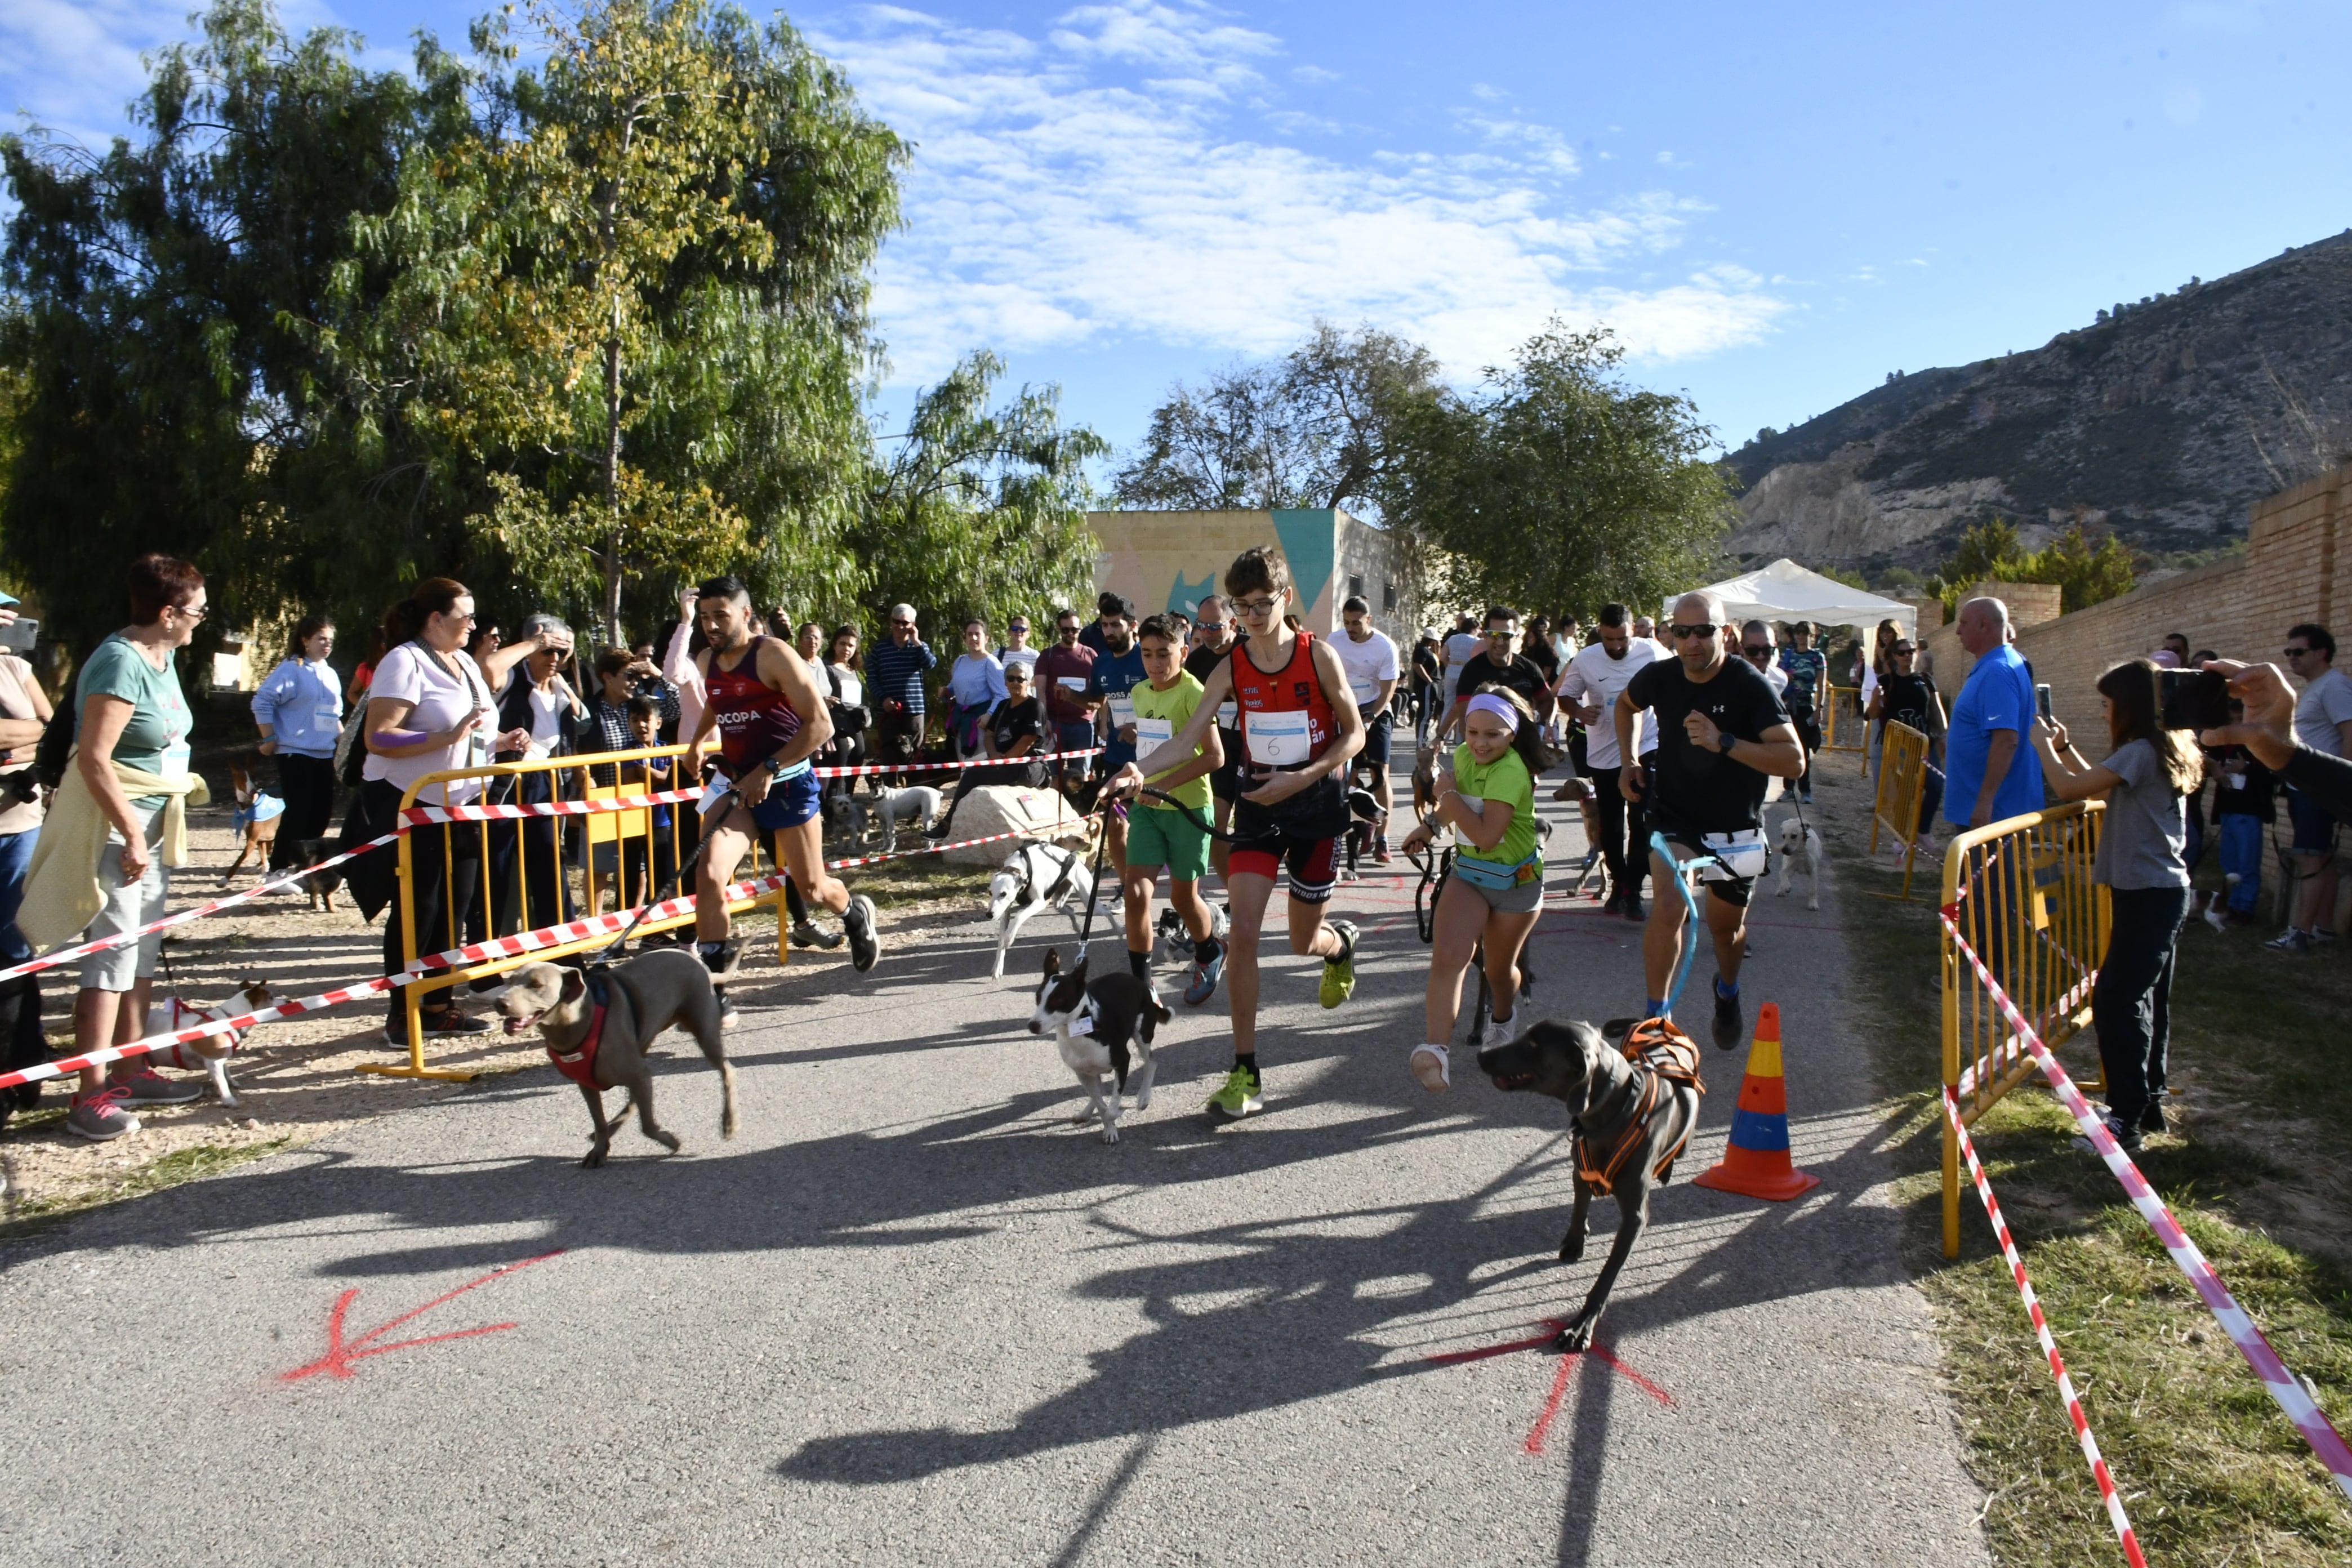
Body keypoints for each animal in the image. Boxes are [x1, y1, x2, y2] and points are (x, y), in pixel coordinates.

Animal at [992, 846, 1101, 982]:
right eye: (990, 893)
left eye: (1003, 894)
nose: (989, 914)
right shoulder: (1006, 911)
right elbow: (1001, 939)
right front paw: (997, 968)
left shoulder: (1039, 903)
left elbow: (1019, 917)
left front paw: (1010, 938)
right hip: (1058, 902)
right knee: (1070, 910)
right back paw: (1077, 927)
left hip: (1089, 900)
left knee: (1107, 913)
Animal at [1035, 950, 1171, 1147]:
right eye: (1038, 998)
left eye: (1058, 999)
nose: (1032, 1026)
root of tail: (1138, 981)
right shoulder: (1082, 1073)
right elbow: (1100, 1103)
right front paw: (1108, 1128)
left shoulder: (1123, 1062)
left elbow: (1111, 1108)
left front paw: (1113, 1121)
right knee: (1098, 1091)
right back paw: (1085, 1113)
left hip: (1142, 1035)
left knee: (1151, 1063)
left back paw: (1143, 1098)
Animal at [1769, 818, 1825, 912]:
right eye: (1783, 836)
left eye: (1794, 836)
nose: (1784, 850)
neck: (1800, 851)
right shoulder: (1789, 867)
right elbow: (1782, 873)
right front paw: (1787, 887)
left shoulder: (1813, 870)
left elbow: (1813, 890)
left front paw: (1813, 904)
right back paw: (1782, 890)